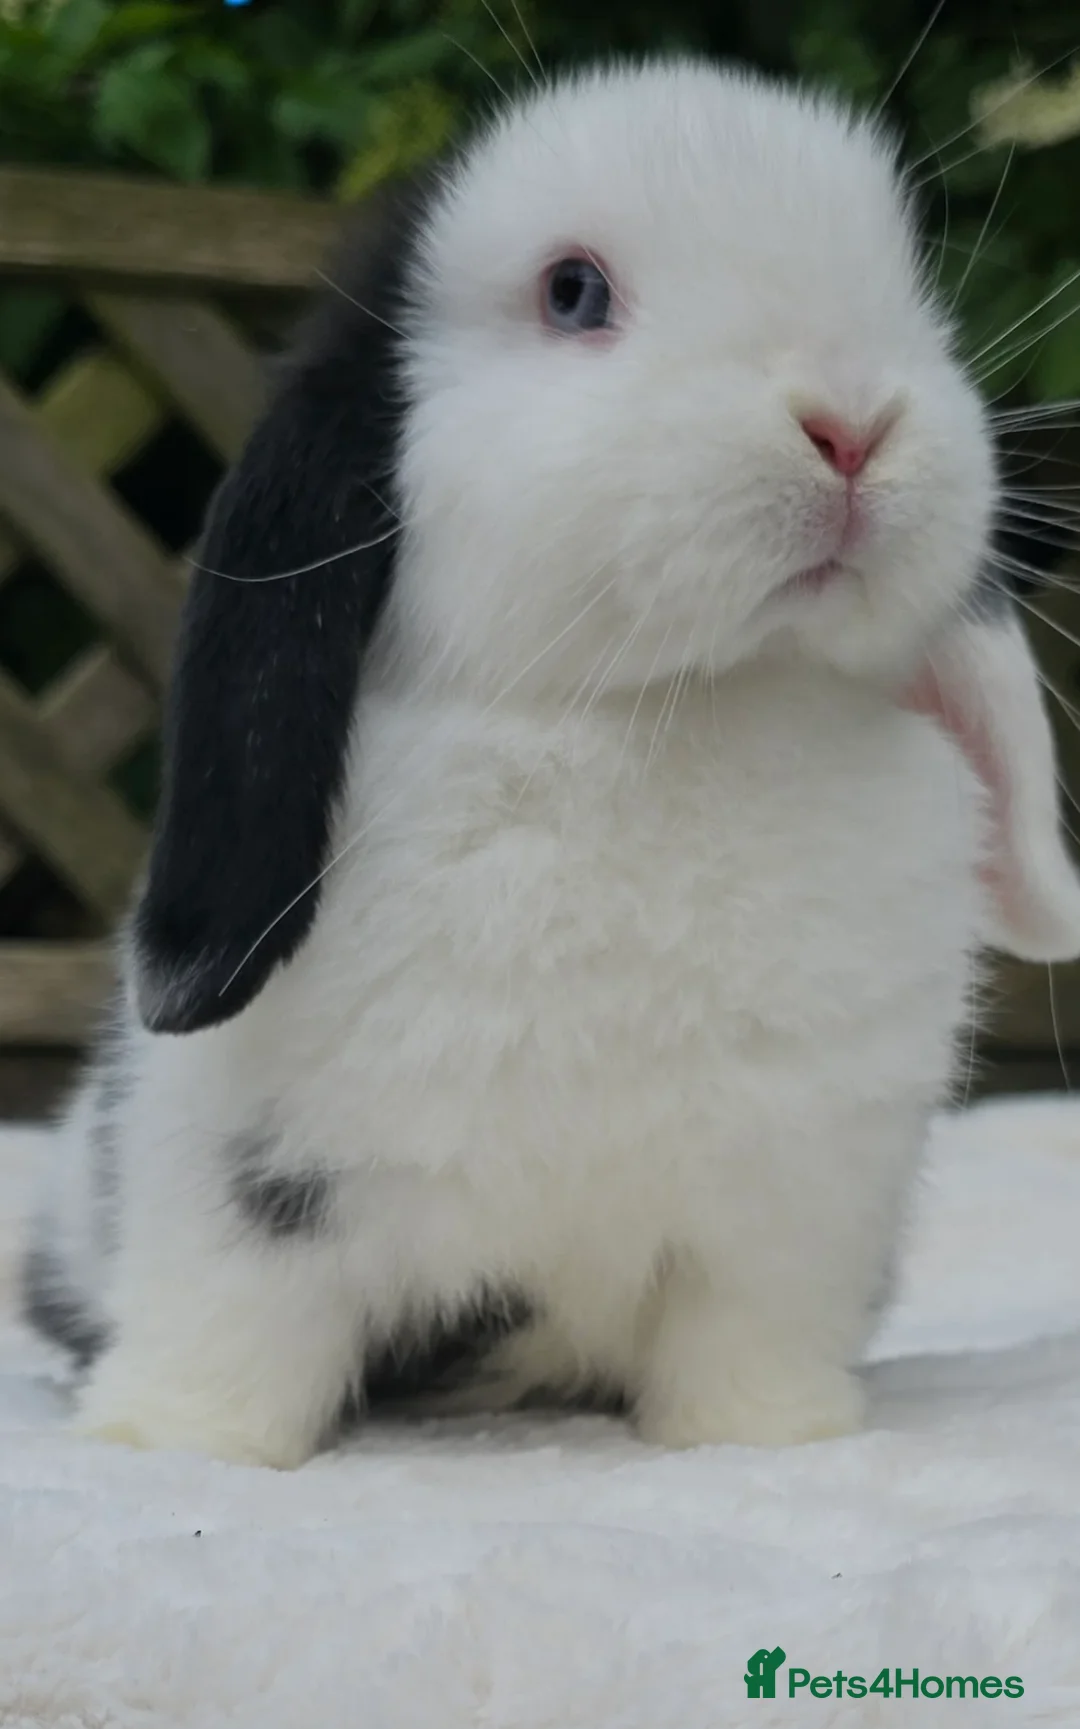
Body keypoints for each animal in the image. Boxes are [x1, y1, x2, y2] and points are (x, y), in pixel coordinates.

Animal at [22, 58, 1080, 1469]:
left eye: (910, 283)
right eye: (574, 292)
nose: (854, 426)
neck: (664, 713)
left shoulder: (792, 1207)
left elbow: (745, 1334)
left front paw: (767, 1436)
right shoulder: (234, 1182)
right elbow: (236, 1314)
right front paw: (178, 1443)